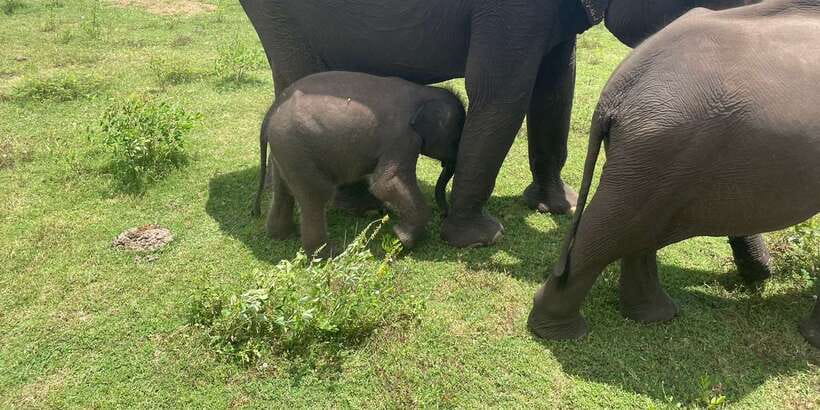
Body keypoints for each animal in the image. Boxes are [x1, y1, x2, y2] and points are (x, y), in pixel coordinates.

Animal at [252, 71, 465, 256]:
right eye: (456, 140)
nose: (444, 214)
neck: (424, 92)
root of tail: (271, 112)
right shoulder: (403, 139)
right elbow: (385, 184)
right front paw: (402, 239)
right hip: (296, 148)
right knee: (316, 195)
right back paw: (328, 253)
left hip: (285, 151)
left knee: (283, 190)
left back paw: (282, 234)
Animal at [528, 0, 820, 348]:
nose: (761, 279)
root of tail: (617, 89)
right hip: (664, 144)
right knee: (610, 231)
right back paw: (561, 333)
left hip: (655, 155)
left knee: (638, 230)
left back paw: (654, 316)